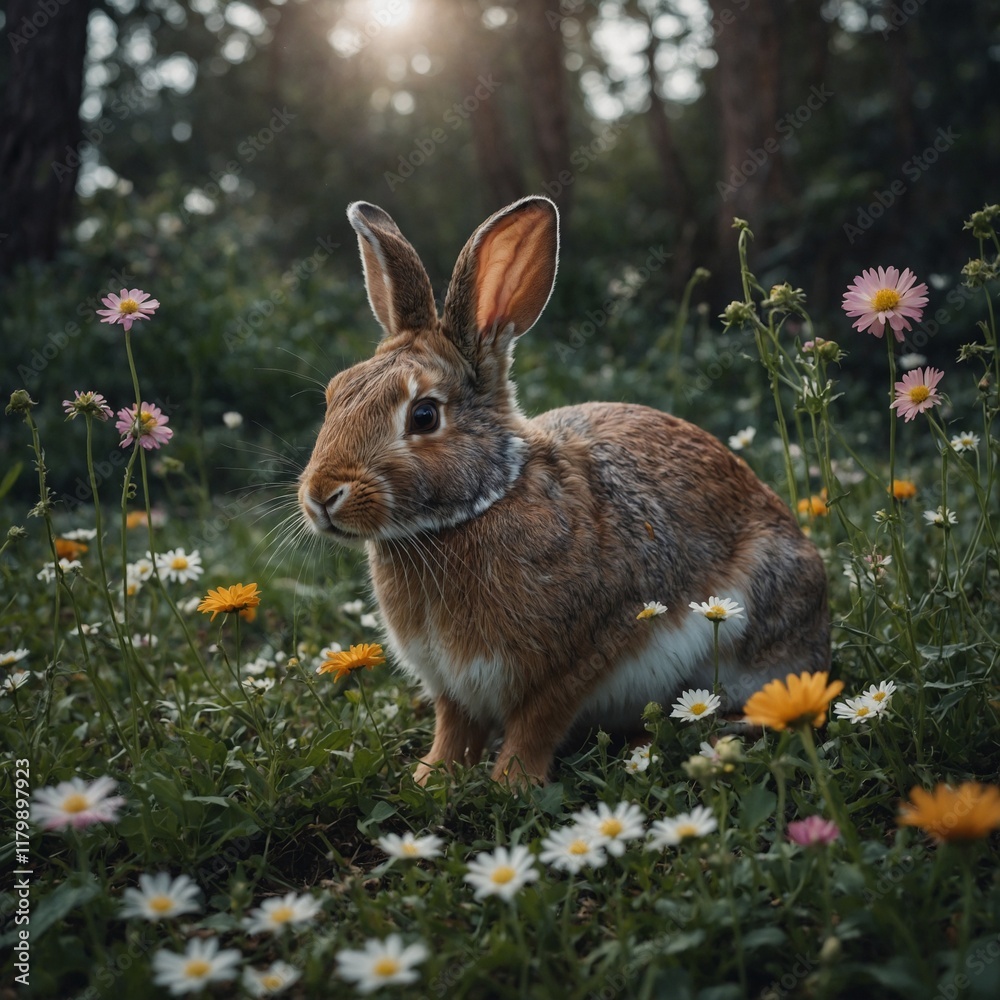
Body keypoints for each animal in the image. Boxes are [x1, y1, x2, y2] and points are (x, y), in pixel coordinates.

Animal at [298, 195, 830, 787]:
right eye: (335, 393)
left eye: (424, 415)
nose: (322, 496)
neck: (483, 503)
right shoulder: (451, 685)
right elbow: (454, 728)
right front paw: (430, 778)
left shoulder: (578, 657)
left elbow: (537, 724)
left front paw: (511, 785)